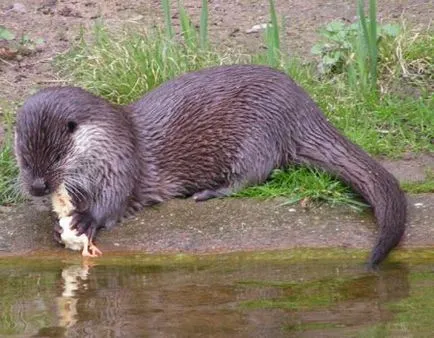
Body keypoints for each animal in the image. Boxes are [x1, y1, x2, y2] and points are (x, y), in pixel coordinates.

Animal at [13, 64, 406, 268]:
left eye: (57, 157)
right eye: (24, 158)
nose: (38, 187)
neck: (106, 144)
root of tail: (305, 109)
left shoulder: (122, 165)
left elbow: (114, 203)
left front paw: (85, 220)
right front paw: (58, 221)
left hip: (257, 135)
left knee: (255, 173)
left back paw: (208, 192)